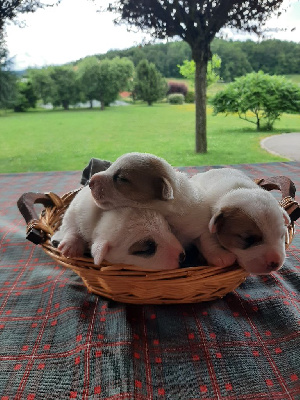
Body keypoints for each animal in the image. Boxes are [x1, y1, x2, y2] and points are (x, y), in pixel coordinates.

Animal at [51, 186, 185, 270]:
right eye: (147, 249)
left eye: (168, 228)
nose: (183, 257)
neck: (101, 216)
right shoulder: (77, 209)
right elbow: (70, 224)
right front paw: (70, 246)